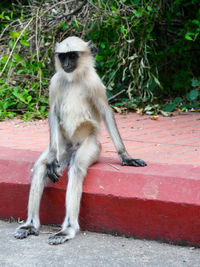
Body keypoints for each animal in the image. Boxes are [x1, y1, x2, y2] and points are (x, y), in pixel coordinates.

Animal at [13, 36, 145, 246]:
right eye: (63, 56)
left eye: (73, 56)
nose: (66, 64)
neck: (73, 78)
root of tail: (71, 147)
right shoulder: (55, 82)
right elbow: (53, 113)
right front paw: (51, 160)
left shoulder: (94, 82)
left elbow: (106, 113)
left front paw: (126, 157)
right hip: (62, 146)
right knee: (42, 165)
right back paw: (30, 225)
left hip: (91, 146)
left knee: (76, 169)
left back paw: (67, 229)